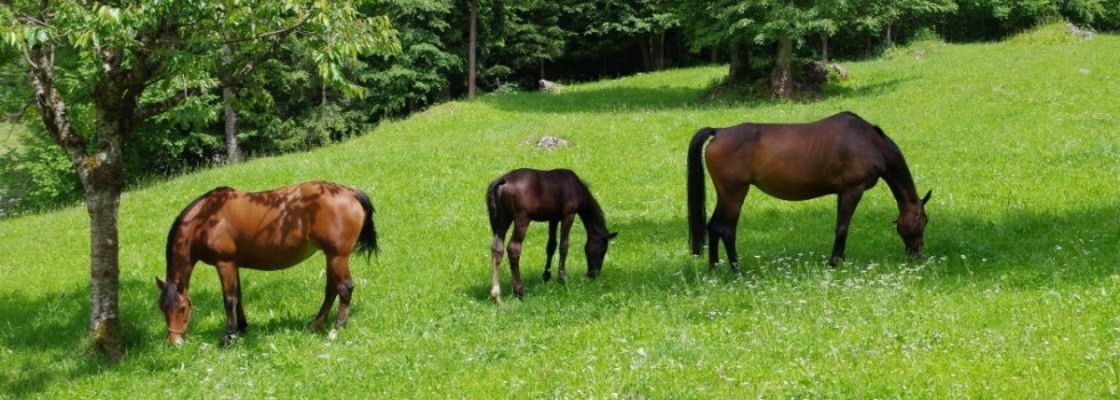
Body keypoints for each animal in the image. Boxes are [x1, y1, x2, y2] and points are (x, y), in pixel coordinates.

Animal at [156, 181, 378, 346]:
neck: (206, 219)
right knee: (331, 290)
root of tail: (349, 192)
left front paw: (228, 337)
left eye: (182, 308)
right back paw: (316, 325)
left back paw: (338, 327)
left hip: (337, 257)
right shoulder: (234, 263)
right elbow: (239, 295)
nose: (174, 342)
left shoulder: (224, 263)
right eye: (162, 308)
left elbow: (229, 299)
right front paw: (242, 327)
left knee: (345, 288)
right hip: (331, 257)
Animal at [486, 168, 618, 304]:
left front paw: (547, 276)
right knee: (514, 248)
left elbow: (551, 246)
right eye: (602, 249)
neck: (575, 187)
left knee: (497, 248)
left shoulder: (553, 218)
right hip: (521, 219)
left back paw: (496, 296)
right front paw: (562, 278)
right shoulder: (568, 215)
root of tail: (504, 180)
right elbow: (564, 246)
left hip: (503, 219)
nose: (593, 274)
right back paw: (520, 292)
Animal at [687, 111, 930, 271]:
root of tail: (719, 132)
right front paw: (834, 263)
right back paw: (737, 270)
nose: (917, 253)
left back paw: (714, 268)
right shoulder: (853, 190)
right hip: (734, 194)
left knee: (713, 227)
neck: (869, 141)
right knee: (725, 229)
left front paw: (840, 259)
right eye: (923, 221)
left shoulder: (842, 192)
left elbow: (841, 226)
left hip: (725, 195)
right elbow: (843, 227)